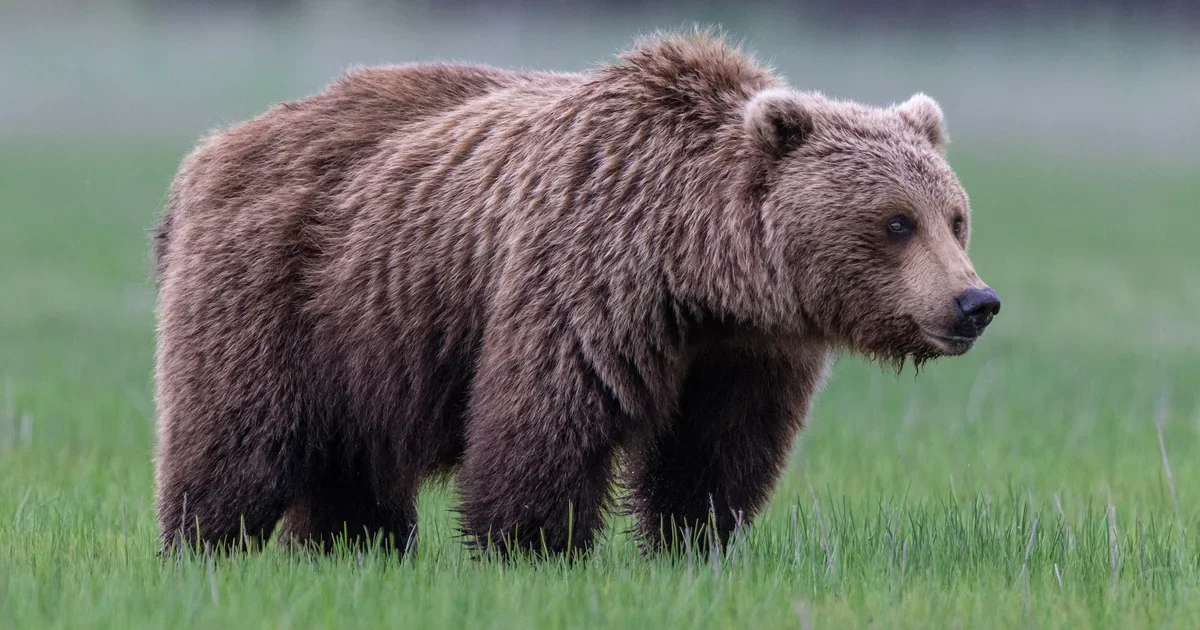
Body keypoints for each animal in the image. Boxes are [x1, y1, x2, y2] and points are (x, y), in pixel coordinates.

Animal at [151, 30, 999, 558]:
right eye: (895, 221)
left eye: (955, 216)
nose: (974, 303)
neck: (697, 272)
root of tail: (208, 151)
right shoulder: (583, 278)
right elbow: (547, 423)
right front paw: (532, 545)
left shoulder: (743, 353)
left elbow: (716, 453)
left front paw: (693, 541)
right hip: (284, 289)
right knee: (236, 439)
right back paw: (204, 544)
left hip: (364, 335)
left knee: (351, 463)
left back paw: (355, 546)